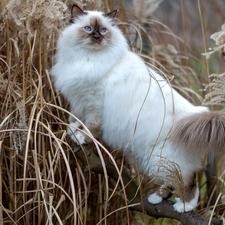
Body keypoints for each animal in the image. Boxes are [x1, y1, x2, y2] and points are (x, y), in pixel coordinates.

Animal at [51, 4, 225, 213]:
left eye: (103, 30)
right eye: (88, 28)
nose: (97, 37)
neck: (89, 58)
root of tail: (196, 114)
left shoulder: (95, 103)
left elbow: (91, 128)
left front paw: (81, 137)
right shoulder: (80, 100)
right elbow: (75, 119)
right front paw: (72, 130)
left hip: (161, 159)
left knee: (188, 182)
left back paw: (183, 207)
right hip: (150, 160)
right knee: (172, 183)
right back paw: (155, 200)